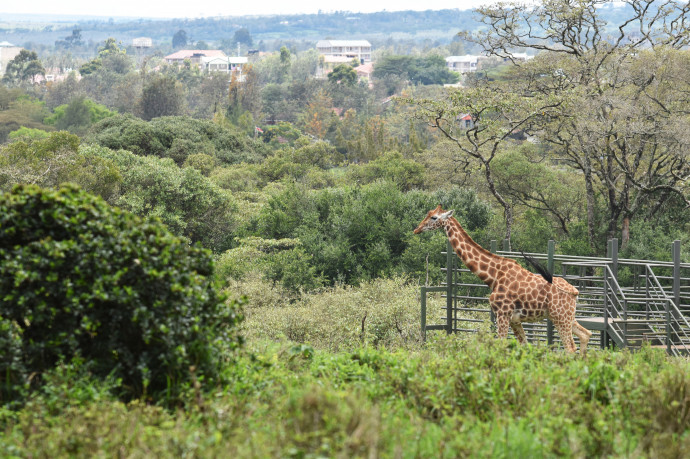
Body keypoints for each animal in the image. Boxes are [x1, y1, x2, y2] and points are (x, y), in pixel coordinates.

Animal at [412, 206, 588, 356]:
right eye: (427, 214)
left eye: (434, 217)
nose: (416, 229)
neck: (493, 276)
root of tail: (575, 291)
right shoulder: (515, 320)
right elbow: (524, 347)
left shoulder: (502, 314)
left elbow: (500, 346)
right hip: (566, 316)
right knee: (586, 334)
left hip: (560, 317)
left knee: (570, 348)